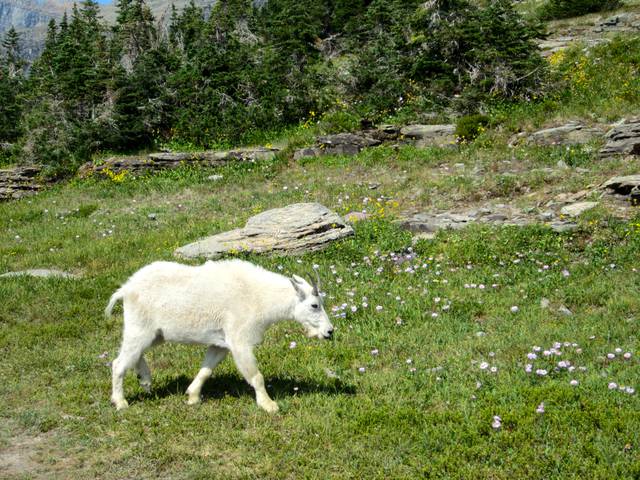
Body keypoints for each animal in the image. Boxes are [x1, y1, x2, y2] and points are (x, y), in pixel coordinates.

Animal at [105, 258, 332, 412]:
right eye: (314, 305)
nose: (329, 331)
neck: (260, 297)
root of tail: (126, 289)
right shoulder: (239, 340)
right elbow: (256, 376)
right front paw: (269, 405)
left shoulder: (221, 343)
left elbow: (206, 370)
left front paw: (192, 396)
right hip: (140, 327)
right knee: (119, 362)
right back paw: (121, 402)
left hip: (155, 334)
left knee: (136, 354)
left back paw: (145, 380)